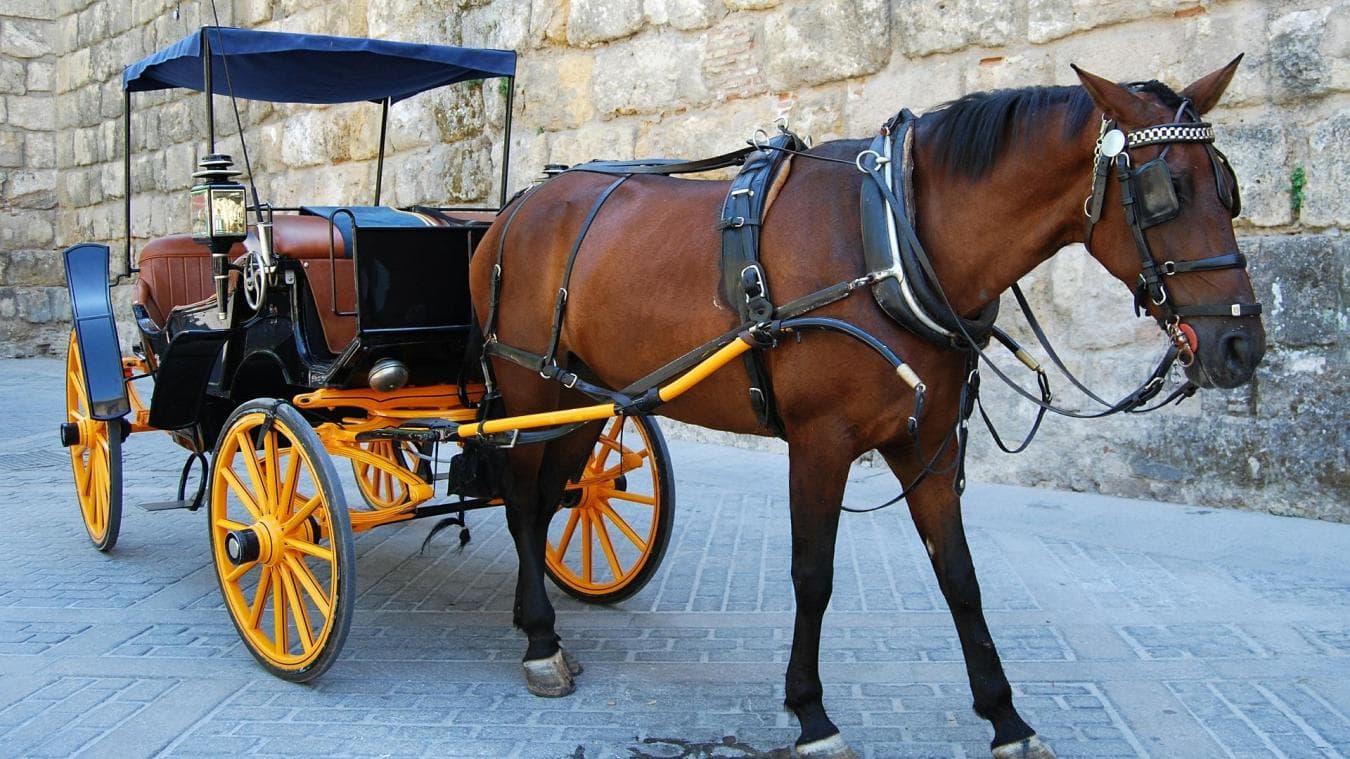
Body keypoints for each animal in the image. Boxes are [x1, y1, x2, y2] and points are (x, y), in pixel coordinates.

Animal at [467, 58, 1264, 759]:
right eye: (1165, 192)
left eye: (1228, 189)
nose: (1241, 344)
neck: (892, 243)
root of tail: (515, 210)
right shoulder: (820, 443)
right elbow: (812, 576)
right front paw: (812, 714)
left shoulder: (931, 445)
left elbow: (961, 577)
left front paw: (1006, 717)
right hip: (530, 388)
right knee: (523, 502)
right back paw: (540, 641)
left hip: (585, 398)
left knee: (555, 497)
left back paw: (536, 624)